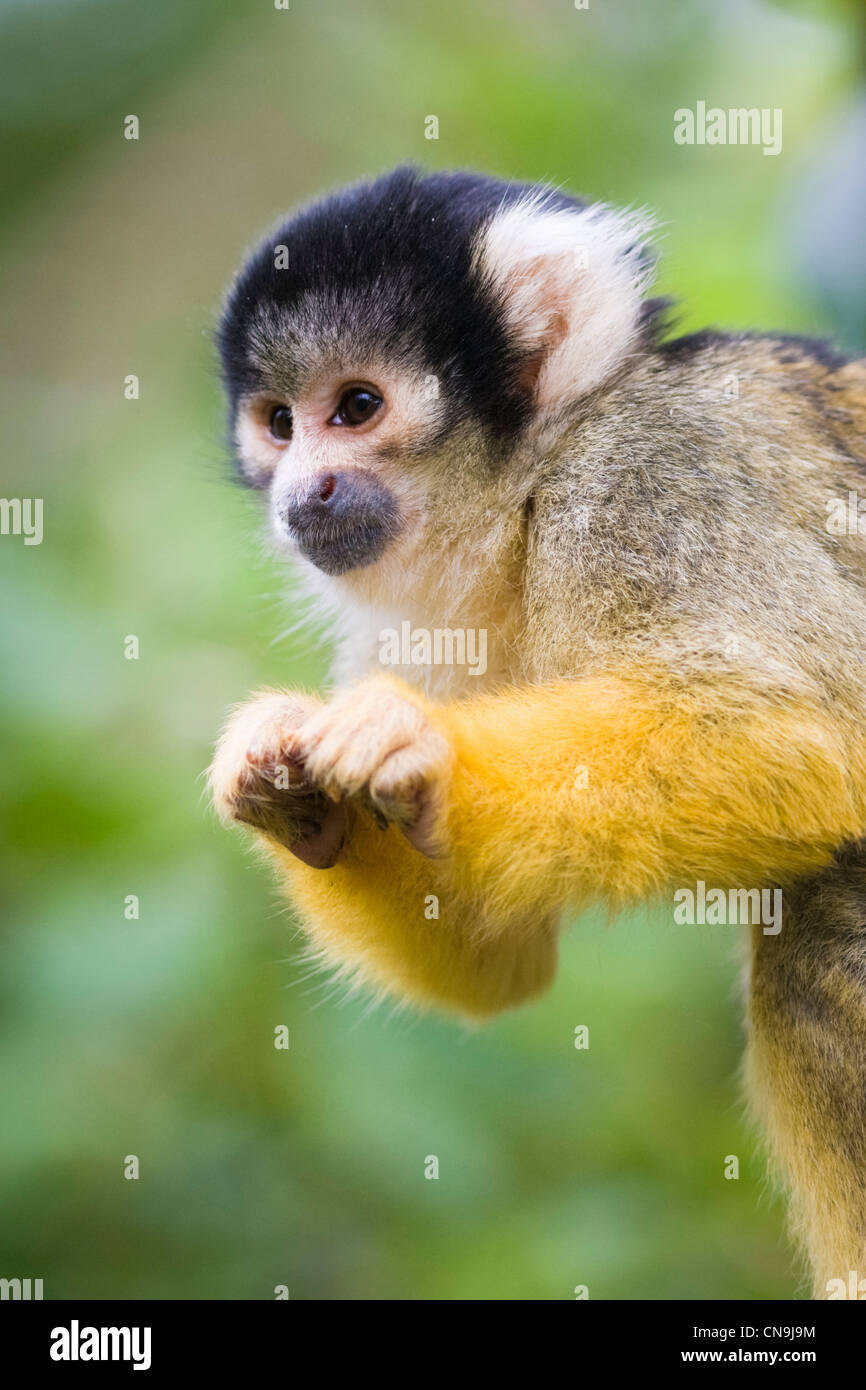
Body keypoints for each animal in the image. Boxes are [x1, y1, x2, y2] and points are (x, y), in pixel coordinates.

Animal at [208, 168, 866, 1295]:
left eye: (357, 407)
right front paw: (290, 791)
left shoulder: (648, 478)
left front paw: (423, 747)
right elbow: (497, 961)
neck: (524, 496)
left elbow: (796, 729)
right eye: (280, 423)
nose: (301, 494)